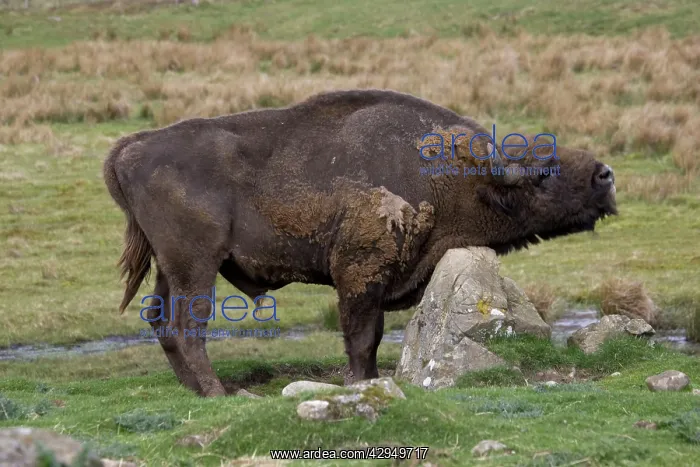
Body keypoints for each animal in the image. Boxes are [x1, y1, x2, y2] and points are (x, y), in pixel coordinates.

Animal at [104, 89, 617, 396]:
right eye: (544, 174)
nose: (606, 175)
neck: (459, 176)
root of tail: (131, 149)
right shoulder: (360, 274)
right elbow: (362, 337)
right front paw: (360, 382)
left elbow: (371, 338)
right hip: (195, 265)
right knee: (187, 327)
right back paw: (219, 391)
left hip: (169, 267)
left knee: (161, 322)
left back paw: (196, 390)